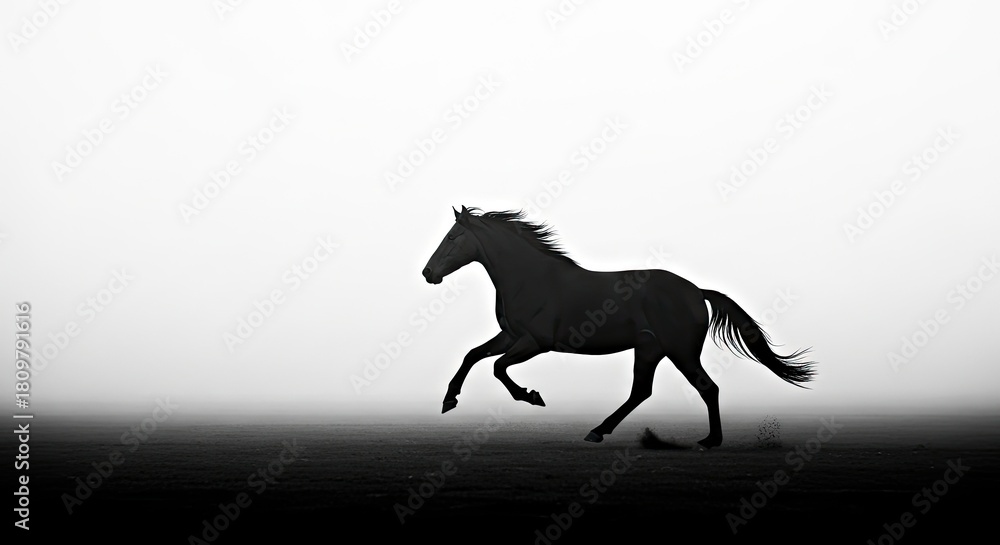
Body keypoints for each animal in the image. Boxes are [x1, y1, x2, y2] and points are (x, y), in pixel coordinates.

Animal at [421, 206, 815, 448]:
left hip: (680, 350)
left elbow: (497, 368)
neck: (529, 278)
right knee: (642, 391)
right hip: (650, 349)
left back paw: (708, 441)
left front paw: (532, 396)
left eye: (452, 237)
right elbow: (473, 355)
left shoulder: (535, 342)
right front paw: (449, 400)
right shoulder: (511, 336)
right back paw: (598, 431)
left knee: (707, 387)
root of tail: (696, 291)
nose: (428, 273)